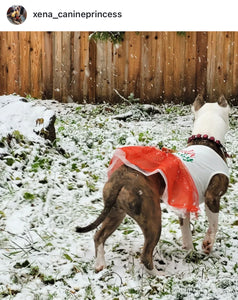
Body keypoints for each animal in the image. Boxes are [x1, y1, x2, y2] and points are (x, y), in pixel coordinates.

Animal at [76, 95, 229, 276]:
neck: (206, 139)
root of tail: (121, 179)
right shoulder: (213, 197)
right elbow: (214, 225)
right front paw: (207, 245)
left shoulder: (184, 205)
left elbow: (186, 232)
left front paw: (189, 251)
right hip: (152, 218)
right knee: (145, 255)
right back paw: (160, 276)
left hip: (116, 212)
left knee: (99, 235)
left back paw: (100, 264)